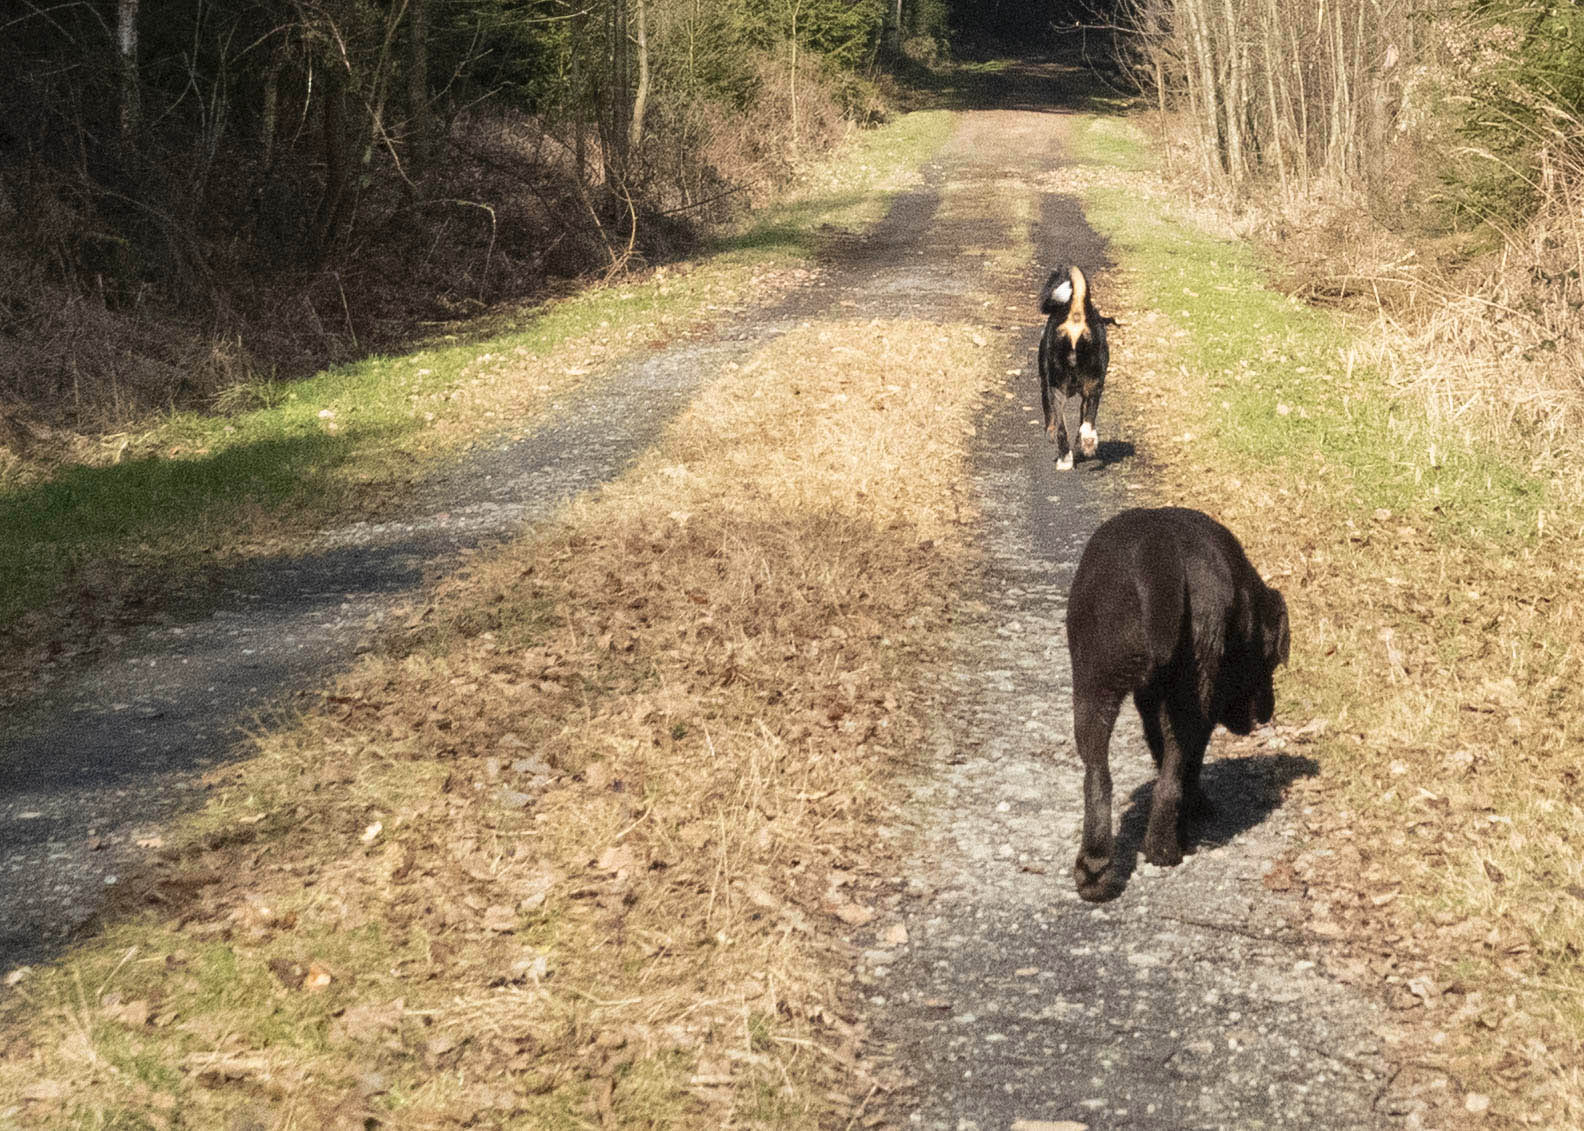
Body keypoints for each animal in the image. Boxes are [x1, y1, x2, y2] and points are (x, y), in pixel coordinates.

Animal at [1039, 264, 1115, 465]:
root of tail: (1076, 316)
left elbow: (1052, 420)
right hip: (1093, 385)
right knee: (1086, 423)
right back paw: (1086, 444)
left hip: (1057, 387)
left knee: (1060, 427)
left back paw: (1065, 457)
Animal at [1064, 503, 1286, 899]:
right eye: (1271, 661)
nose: (1267, 713)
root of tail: (1157, 549)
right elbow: (1187, 767)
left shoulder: (1148, 701)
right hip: (1191, 691)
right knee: (1174, 772)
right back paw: (1165, 848)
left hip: (1093, 686)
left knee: (1098, 776)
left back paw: (1094, 869)